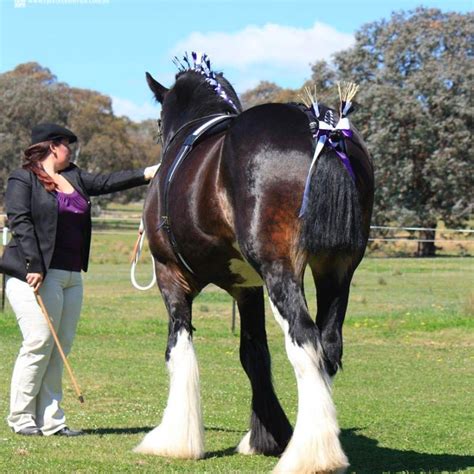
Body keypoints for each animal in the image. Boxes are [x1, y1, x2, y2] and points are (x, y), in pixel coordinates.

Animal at [134, 53, 374, 472]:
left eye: (159, 122)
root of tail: (323, 131)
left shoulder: (170, 275)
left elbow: (179, 348)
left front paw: (174, 439)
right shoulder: (247, 288)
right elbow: (254, 354)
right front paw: (269, 435)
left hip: (281, 271)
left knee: (304, 339)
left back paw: (311, 455)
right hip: (337, 269)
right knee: (328, 344)